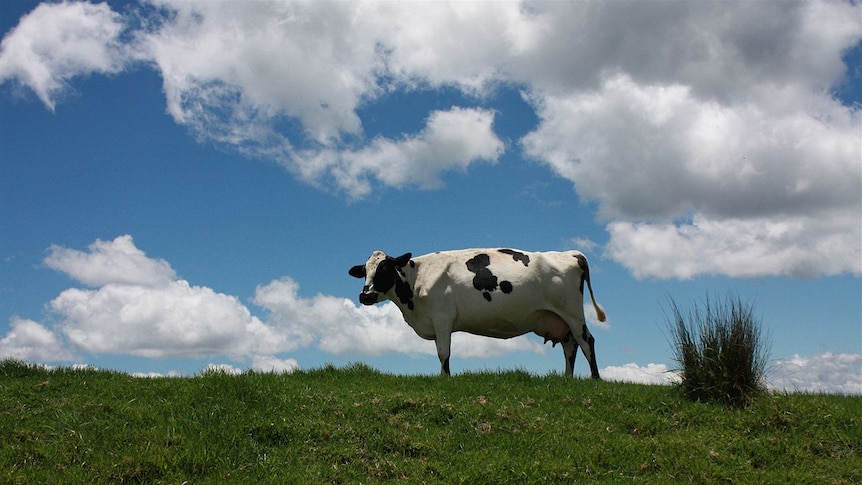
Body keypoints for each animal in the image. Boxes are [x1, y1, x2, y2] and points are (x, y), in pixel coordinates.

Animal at [350, 250, 608, 378]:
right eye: (365, 271)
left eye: (385, 269)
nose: (365, 296)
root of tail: (571, 253)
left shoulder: (442, 317)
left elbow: (443, 353)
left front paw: (445, 378)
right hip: (561, 319)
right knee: (570, 346)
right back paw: (567, 379)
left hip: (572, 312)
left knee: (587, 342)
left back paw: (595, 379)